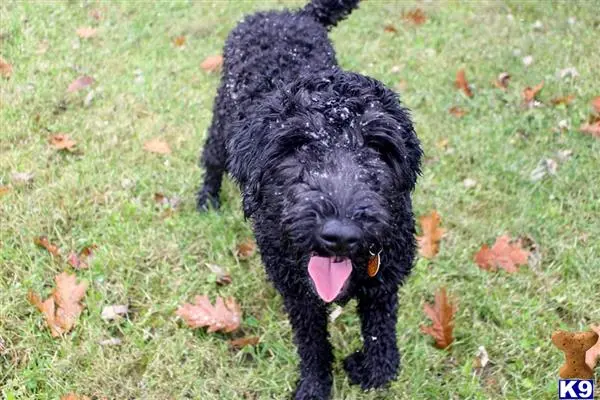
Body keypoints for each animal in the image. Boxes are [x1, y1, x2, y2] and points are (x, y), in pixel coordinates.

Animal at [197, 1, 422, 398]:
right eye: (298, 146)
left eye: (379, 149)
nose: (341, 235)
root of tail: (291, 14)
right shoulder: (299, 294)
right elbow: (313, 343)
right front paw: (315, 385)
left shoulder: (384, 284)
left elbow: (382, 343)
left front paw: (366, 369)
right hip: (222, 121)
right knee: (211, 158)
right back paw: (207, 199)